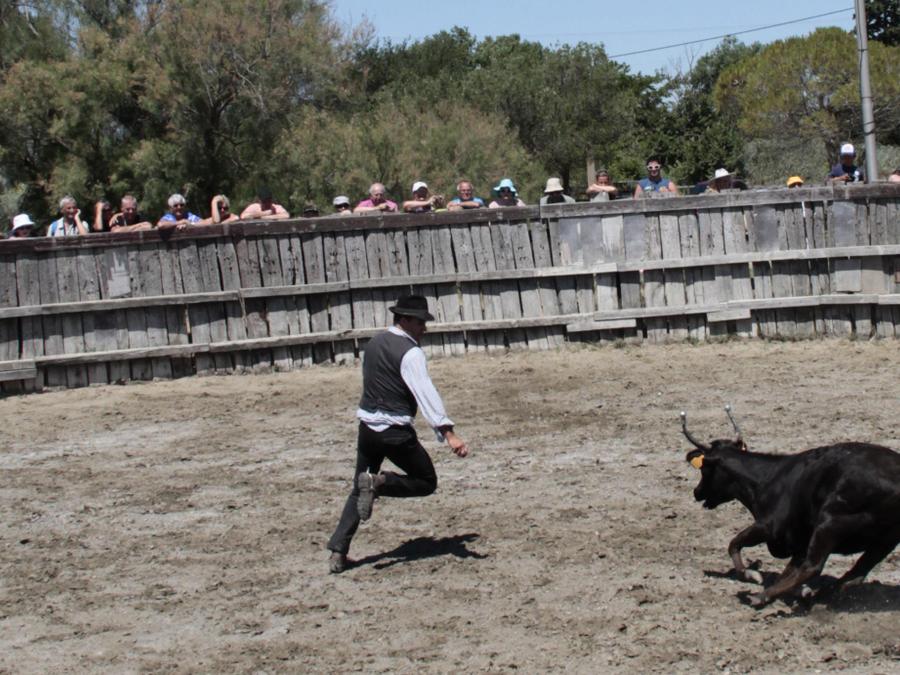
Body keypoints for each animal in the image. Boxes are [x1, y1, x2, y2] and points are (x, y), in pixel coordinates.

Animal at [681, 407, 900, 607]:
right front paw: (798, 590)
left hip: (830, 524)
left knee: (813, 567)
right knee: (853, 576)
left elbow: (734, 543)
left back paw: (761, 597)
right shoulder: (800, 542)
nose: (696, 492)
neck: (767, 479)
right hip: (885, 541)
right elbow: (789, 568)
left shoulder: (768, 527)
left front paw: (751, 575)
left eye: (704, 468)